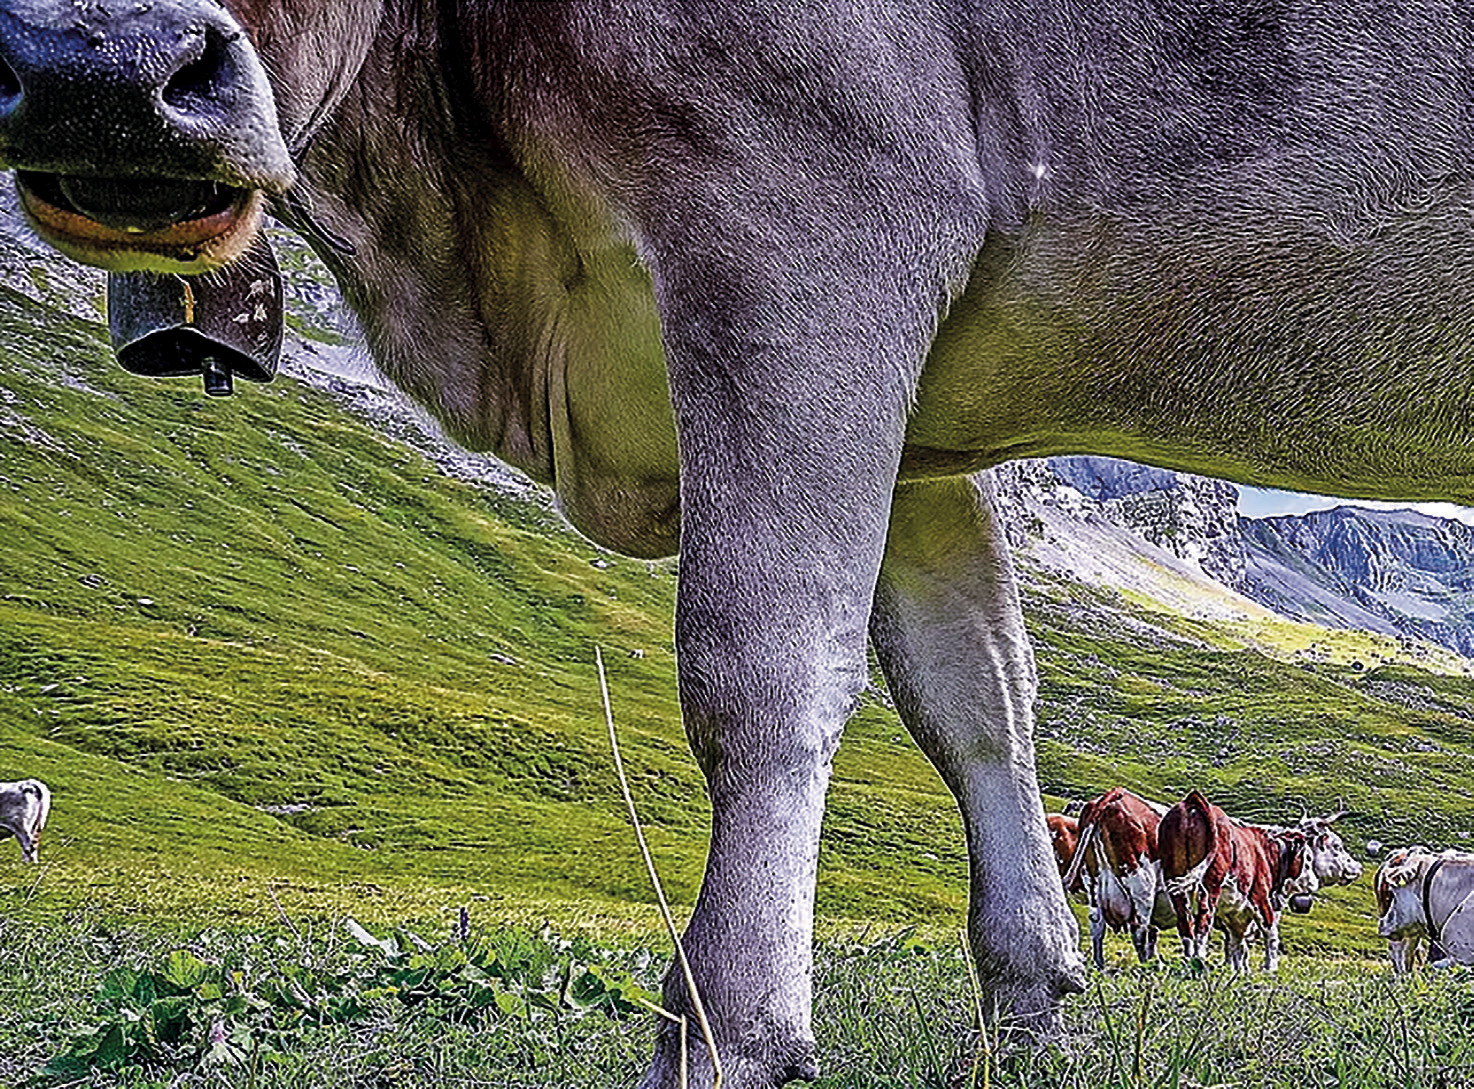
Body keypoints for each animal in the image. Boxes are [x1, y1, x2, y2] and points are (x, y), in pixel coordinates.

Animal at [1061, 789, 1173, 966]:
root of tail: (1114, 793)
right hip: (1141, 886)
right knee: (1139, 932)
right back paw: (1144, 966)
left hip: (1094, 884)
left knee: (1097, 927)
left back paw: (1101, 966)